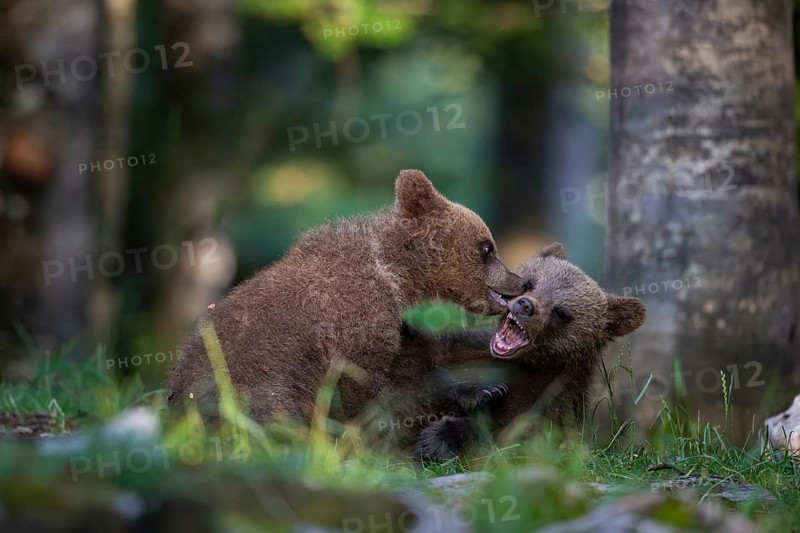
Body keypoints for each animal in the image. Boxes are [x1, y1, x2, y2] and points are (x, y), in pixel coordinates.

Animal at [166, 169, 524, 422]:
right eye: (487, 248)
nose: (519, 281)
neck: (393, 273)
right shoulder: (359, 319)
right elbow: (369, 385)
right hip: (251, 383)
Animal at [367, 242, 647, 460]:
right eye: (530, 283)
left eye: (561, 312)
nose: (525, 306)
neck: (529, 363)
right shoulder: (461, 348)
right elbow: (416, 360)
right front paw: (480, 391)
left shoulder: (553, 400)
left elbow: (518, 438)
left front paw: (440, 438)